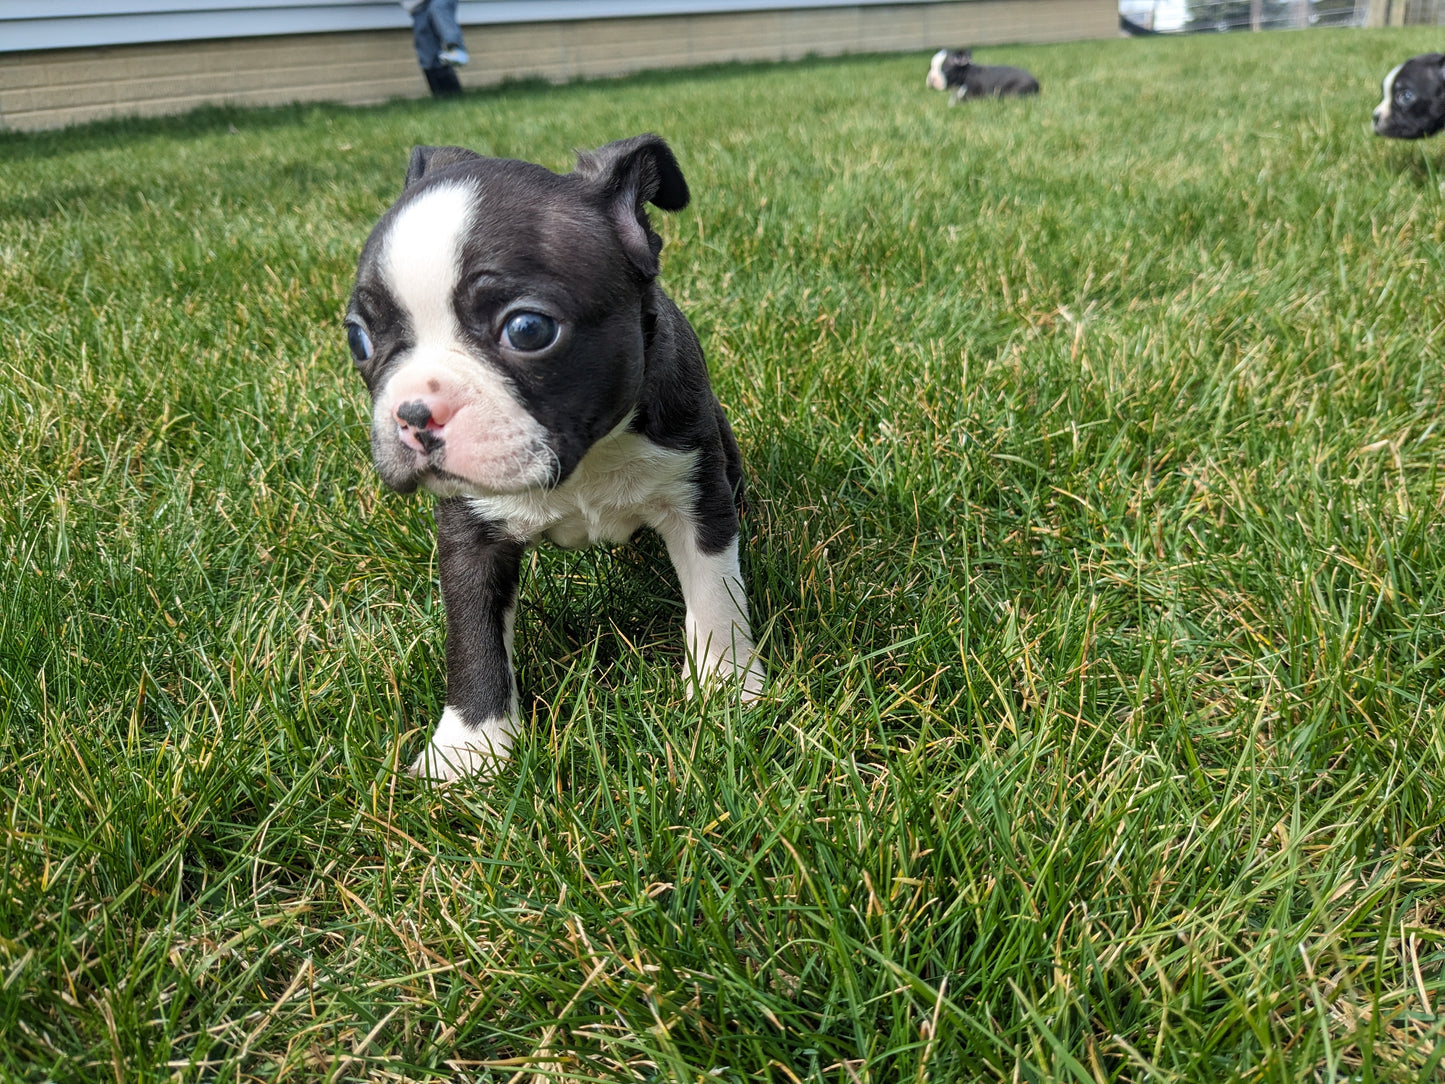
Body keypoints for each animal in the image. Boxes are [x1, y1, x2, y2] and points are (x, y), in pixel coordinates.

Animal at [345, 133, 768, 780]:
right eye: (358, 339)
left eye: (528, 329)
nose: (414, 413)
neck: (584, 462)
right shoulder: (469, 534)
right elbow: (473, 635)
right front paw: (468, 750)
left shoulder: (697, 495)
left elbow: (715, 595)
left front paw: (726, 689)